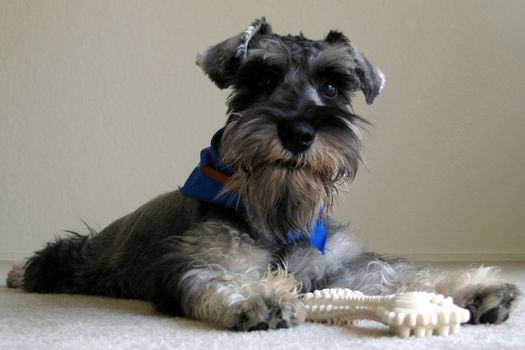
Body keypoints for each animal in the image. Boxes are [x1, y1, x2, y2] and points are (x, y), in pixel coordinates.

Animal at [5, 18, 520, 330]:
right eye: (262, 79)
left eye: (332, 86)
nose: (298, 132)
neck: (278, 213)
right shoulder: (195, 261)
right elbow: (216, 278)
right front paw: (259, 296)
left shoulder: (342, 265)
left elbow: (396, 274)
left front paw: (471, 288)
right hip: (74, 257)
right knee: (44, 261)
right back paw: (15, 273)